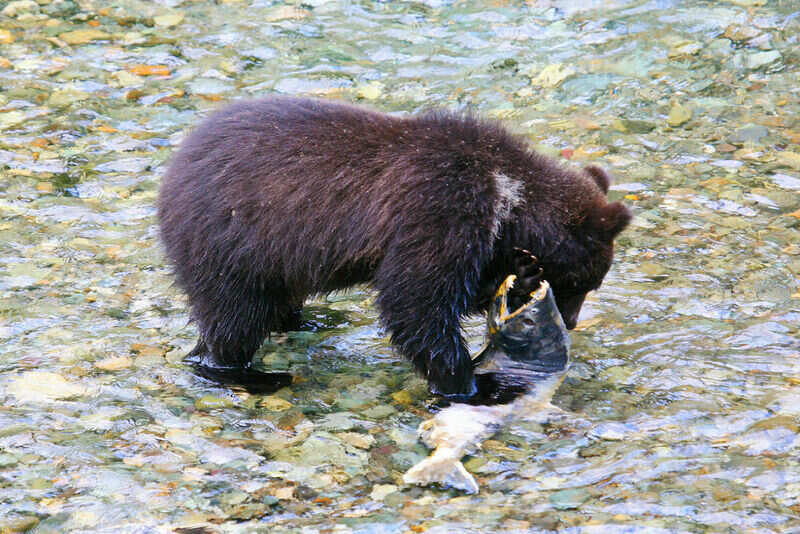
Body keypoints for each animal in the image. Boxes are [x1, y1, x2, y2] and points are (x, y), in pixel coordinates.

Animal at [157, 96, 630, 400]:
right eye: (586, 282)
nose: (572, 321)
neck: (506, 195)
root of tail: (171, 172)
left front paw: (521, 276)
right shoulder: (440, 206)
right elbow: (416, 302)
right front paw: (469, 383)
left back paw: (311, 319)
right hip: (233, 244)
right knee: (232, 321)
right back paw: (249, 374)